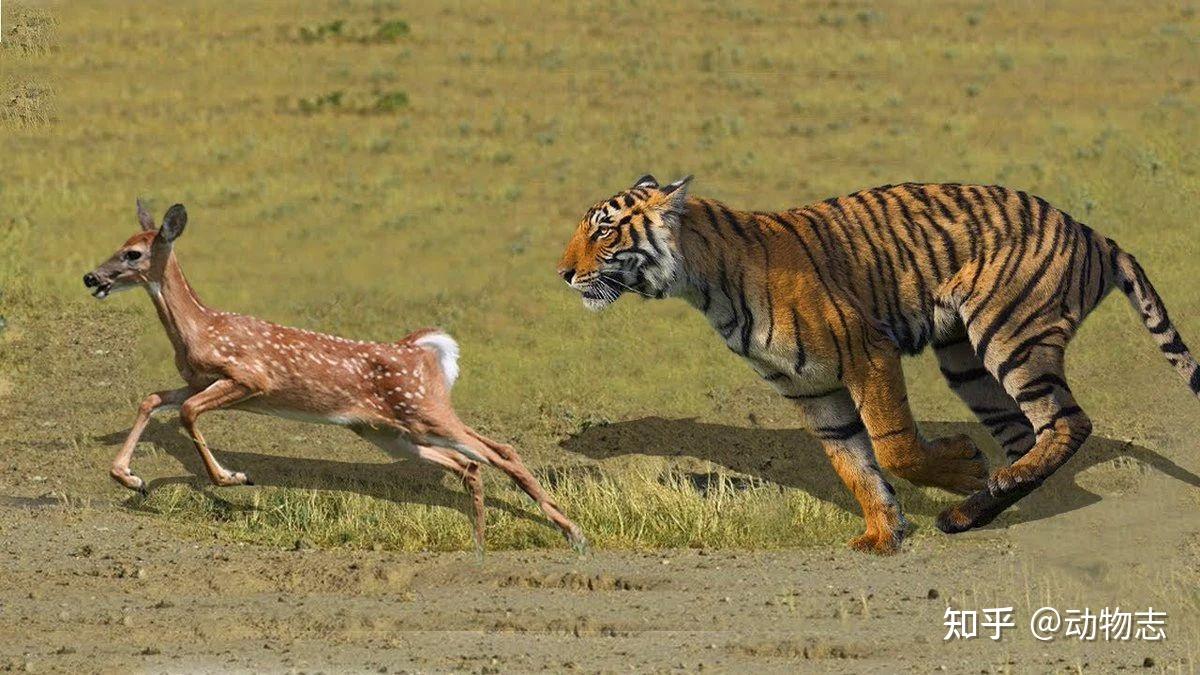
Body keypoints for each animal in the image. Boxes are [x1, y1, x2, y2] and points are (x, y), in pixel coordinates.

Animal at [82, 195, 588, 552]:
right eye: (119, 245)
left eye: (132, 254)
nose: (91, 277)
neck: (200, 329)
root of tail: (423, 351)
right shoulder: (198, 380)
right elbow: (153, 398)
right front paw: (130, 478)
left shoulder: (250, 378)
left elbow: (187, 413)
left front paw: (233, 478)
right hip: (390, 433)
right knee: (470, 464)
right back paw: (482, 540)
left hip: (424, 410)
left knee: (500, 450)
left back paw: (572, 533)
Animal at [556, 172, 1195, 552]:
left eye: (605, 231)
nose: (562, 273)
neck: (703, 284)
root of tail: (1091, 231)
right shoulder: (811, 389)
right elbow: (854, 464)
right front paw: (884, 533)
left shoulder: (868, 352)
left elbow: (892, 445)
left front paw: (961, 466)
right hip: (966, 361)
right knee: (1028, 434)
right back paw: (977, 510)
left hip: (1007, 335)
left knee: (1066, 423)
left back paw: (984, 489)